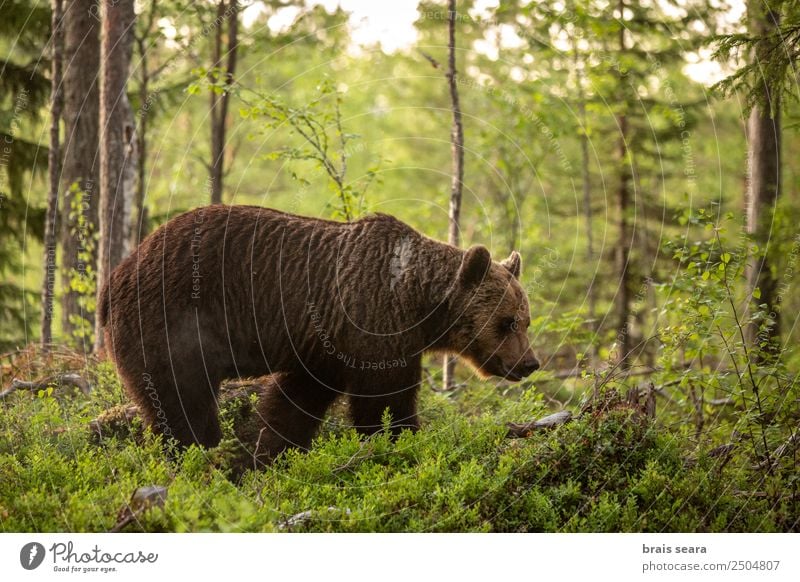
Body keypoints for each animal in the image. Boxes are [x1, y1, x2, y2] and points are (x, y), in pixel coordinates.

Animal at [98, 206, 536, 460]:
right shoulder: (373, 328)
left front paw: (268, 454)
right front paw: (406, 440)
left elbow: (294, 404)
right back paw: (198, 455)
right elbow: (384, 403)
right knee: (183, 400)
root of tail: (116, 274)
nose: (529, 363)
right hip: (170, 319)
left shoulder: (325, 350)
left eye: (526, 319)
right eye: (507, 321)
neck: (415, 302)